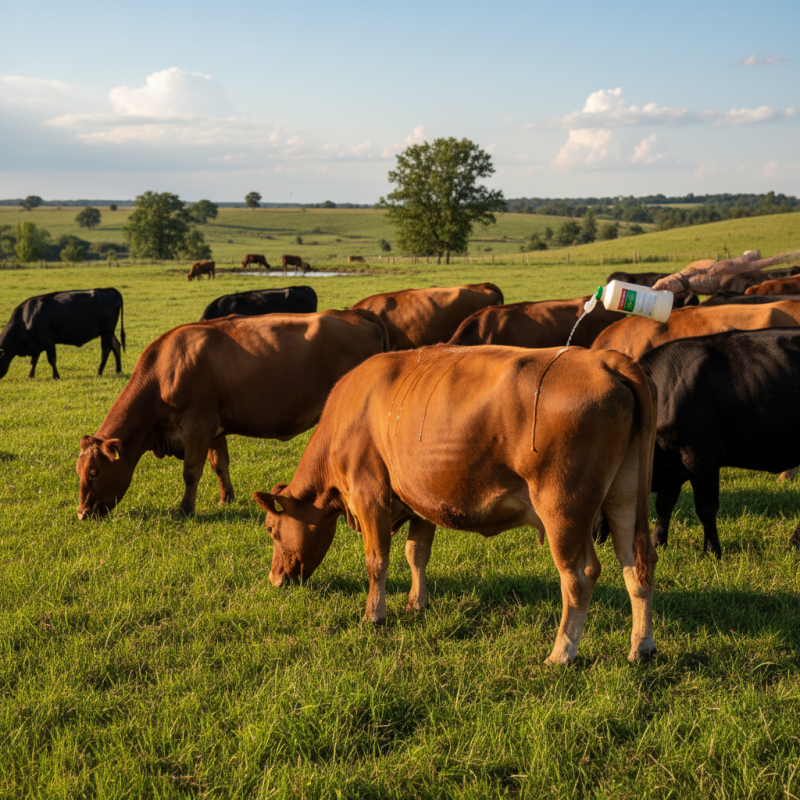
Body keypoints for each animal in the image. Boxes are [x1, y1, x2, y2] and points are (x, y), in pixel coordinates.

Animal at [76, 309, 388, 518]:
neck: (162, 374)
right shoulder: (214, 428)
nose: (82, 513)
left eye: (94, 471)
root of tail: (354, 314)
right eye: (78, 471)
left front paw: (185, 509)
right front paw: (226, 498)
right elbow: (219, 464)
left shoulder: (197, 426)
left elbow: (191, 471)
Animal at [253, 345, 658, 665]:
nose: (275, 579)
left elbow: (377, 560)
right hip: (624, 497)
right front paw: (417, 603)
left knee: (579, 576)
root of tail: (605, 359)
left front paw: (374, 615)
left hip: (563, 507)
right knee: (637, 565)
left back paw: (561, 653)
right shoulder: (420, 498)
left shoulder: (370, 495)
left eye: (271, 529)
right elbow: (416, 553)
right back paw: (642, 647)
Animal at [636, 328, 800, 557]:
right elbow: (664, 504)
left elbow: (706, 507)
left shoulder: (701, 456)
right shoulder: (671, 462)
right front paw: (658, 542)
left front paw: (711, 551)